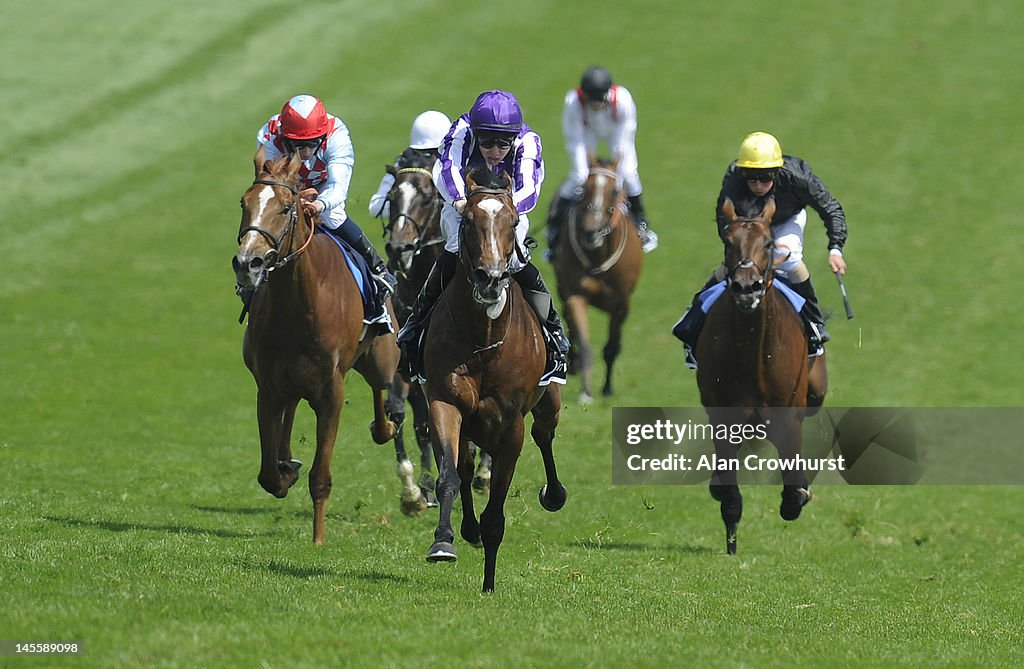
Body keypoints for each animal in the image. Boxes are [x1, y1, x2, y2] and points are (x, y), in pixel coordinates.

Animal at [234, 153, 397, 545]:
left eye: (285, 207)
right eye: (244, 204)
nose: (248, 262)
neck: (298, 305)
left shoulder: (331, 391)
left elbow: (320, 475)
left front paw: (318, 539)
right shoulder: (268, 387)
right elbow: (268, 473)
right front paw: (285, 471)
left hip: (381, 360)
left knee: (382, 390)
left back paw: (387, 427)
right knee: (291, 409)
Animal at [421, 165, 569, 590]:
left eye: (514, 220)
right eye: (468, 220)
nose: (489, 278)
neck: (484, 338)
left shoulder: (510, 424)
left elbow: (496, 512)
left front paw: (488, 583)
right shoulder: (444, 401)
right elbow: (450, 476)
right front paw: (444, 542)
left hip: (549, 401)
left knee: (544, 433)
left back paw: (554, 494)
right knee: (466, 466)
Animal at [552, 153, 638, 401]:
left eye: (614, 192)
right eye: (583, 189)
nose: (591, 231)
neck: (599, 256)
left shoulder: (622, 304)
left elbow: (611, 347)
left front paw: (607, 389)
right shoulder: (575, 295)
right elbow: (584, 343)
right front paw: (586, 391)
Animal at [692, 196, 827, 553]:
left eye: (767, 242)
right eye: (728, 242)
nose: (746, 287)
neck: (753, 353)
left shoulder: (787, 418)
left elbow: (793, 492)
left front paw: (800, 492)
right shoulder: (724, 417)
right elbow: (730, 497)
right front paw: (731, 546)